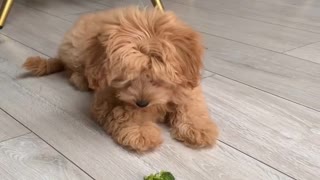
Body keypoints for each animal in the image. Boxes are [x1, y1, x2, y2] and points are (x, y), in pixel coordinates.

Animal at [22, 6, 219, 151]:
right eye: (127, 77)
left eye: (156, 76)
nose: (142, 103)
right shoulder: (105, 98)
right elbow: (124, 111)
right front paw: (140, 132)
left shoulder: (187, 85)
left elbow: (191, 105)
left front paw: (198, 128)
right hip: (76, 51)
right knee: (71, 69)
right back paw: (81, 79)